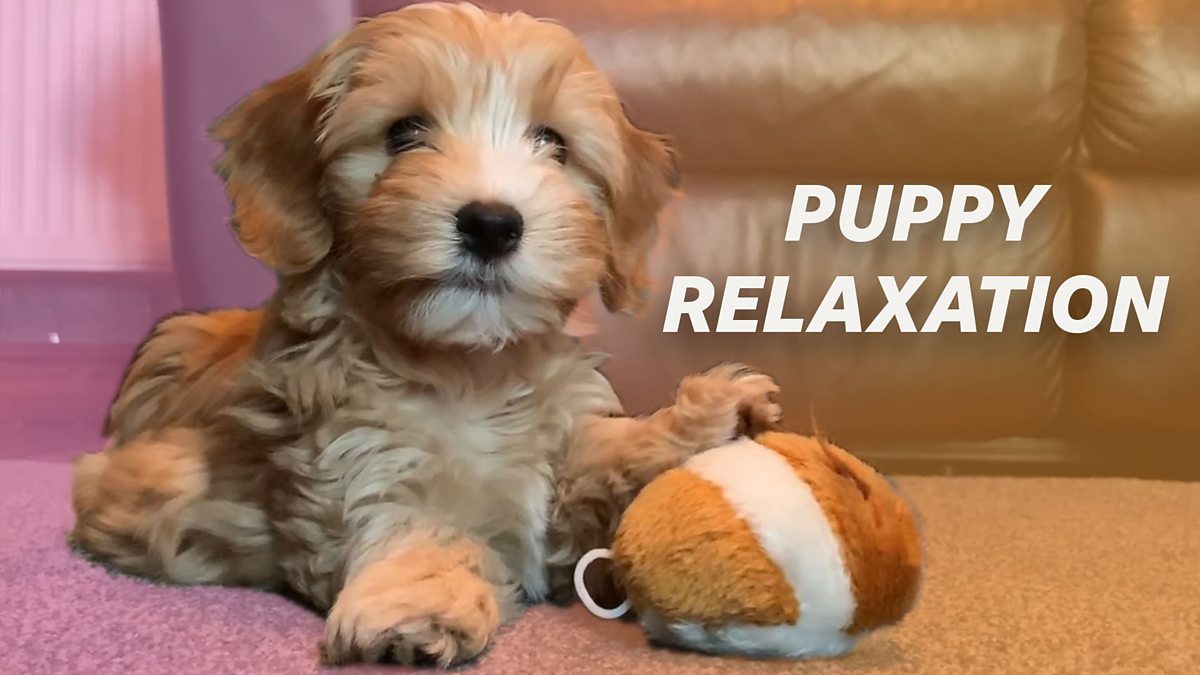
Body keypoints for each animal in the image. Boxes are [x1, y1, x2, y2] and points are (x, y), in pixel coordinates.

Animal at [70, 3, 781, 667]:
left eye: (553, 142)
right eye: (404, 133)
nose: (492, 224)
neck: (468, 367)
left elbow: (594, 460)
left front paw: (701, 422)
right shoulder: (351, 458)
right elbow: (423, 525)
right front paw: (421, 604)